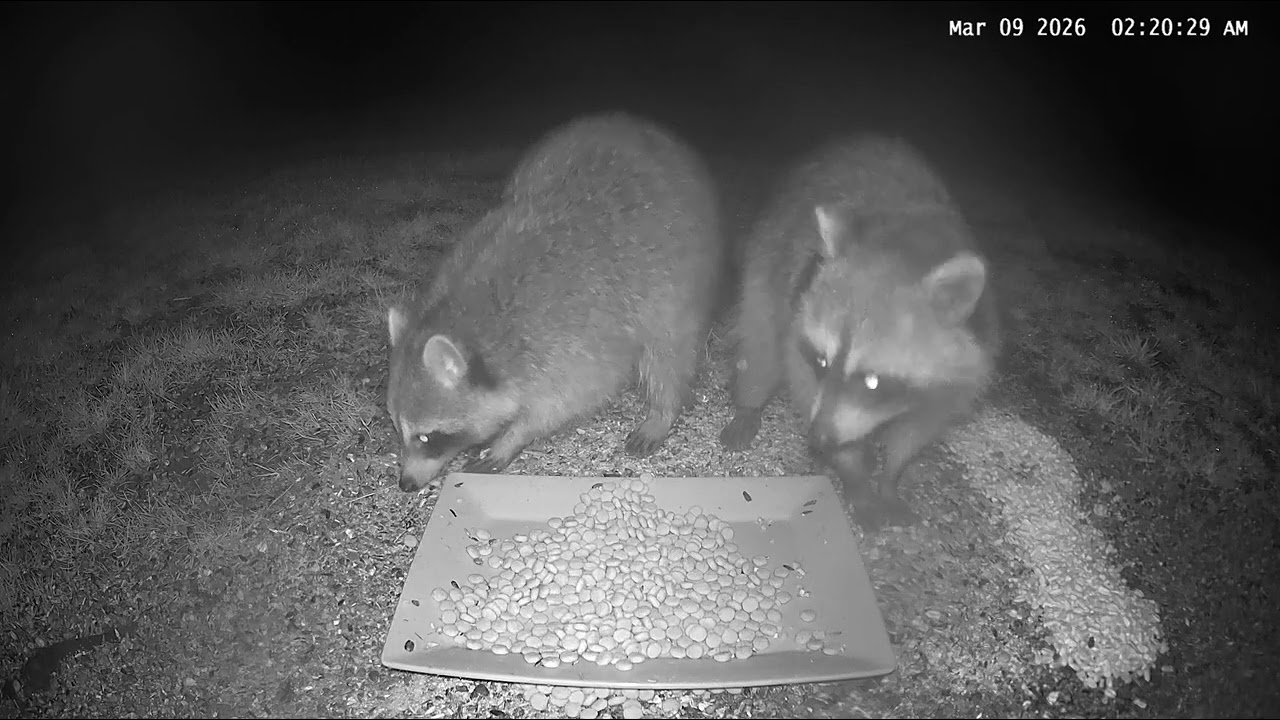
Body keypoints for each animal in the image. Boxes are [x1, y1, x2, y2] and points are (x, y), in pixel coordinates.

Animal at [387, 113, 723, 492]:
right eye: (398, 428)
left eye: (426, 437)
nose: (405, 483)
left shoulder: (574, 342)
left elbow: (561, 404)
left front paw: (513, 436)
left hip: (679, 275)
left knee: (668, 350)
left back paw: (663, 409)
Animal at [719, 135, 999, 529]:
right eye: (821, 360)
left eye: (872, 381)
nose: (818, 440)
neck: (905, 247)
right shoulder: (798, 329)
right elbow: (803, 382)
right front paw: (854, 476)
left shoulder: (963, 367)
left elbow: (919, 428)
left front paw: (890, 477)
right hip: (769, 253)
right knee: (761, 339)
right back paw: (750, 401)